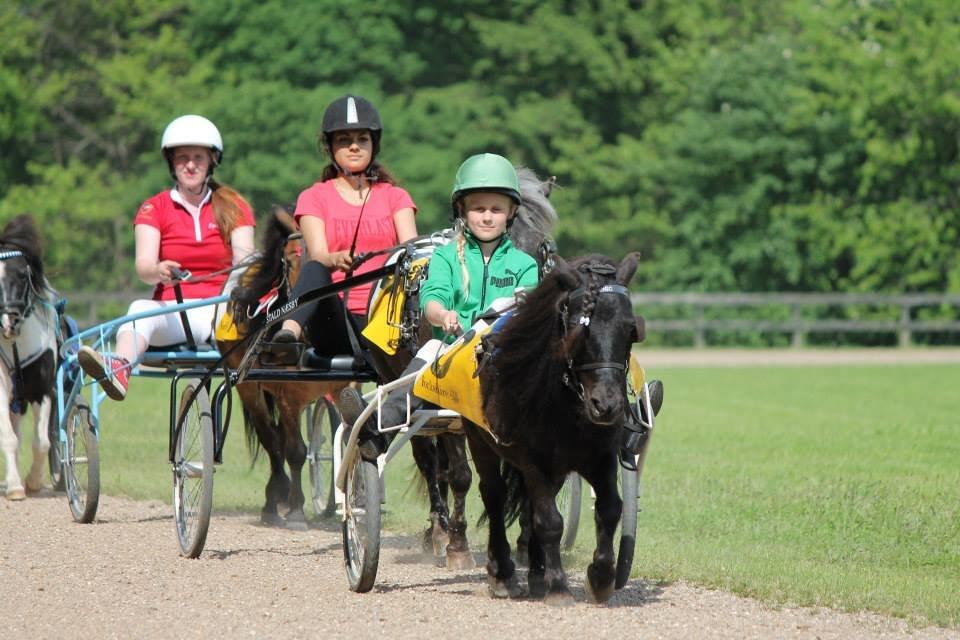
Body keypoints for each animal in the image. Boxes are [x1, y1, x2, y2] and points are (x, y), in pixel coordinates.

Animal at [464, 252, 644, 604]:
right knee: (494, 495)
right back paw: (503, 572)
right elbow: (549, 521)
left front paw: (601, 576)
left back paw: (536, 572)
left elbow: (609, 509)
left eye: (631, 330)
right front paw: (559, 584)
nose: (606, 404)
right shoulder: (531, 459)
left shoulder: (600, 455)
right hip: (479, 439)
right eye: (579, 329)